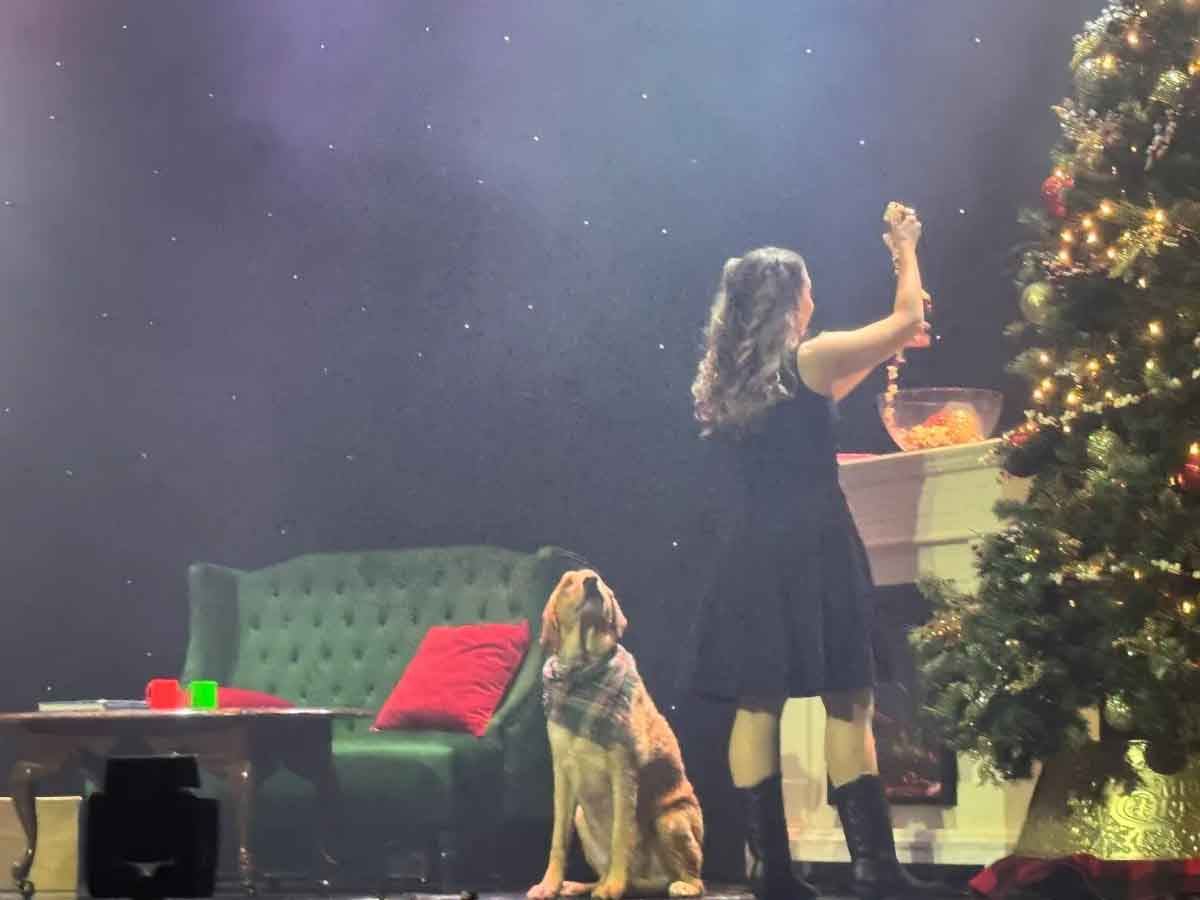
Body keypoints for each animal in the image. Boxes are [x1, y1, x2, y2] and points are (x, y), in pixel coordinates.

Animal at [527, 569, 704, 900]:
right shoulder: (562, 771)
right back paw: (585, 884)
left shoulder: (624, 772)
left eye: (597, 578)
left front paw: (613, 886)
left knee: (696, 877)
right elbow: (558, 838)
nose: (591, 582)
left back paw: (679, 885)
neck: (582, 670)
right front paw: (550, 884)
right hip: (582, 817)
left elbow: (621, 836)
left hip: (670, 820)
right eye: (568, 582)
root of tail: (649, 879)